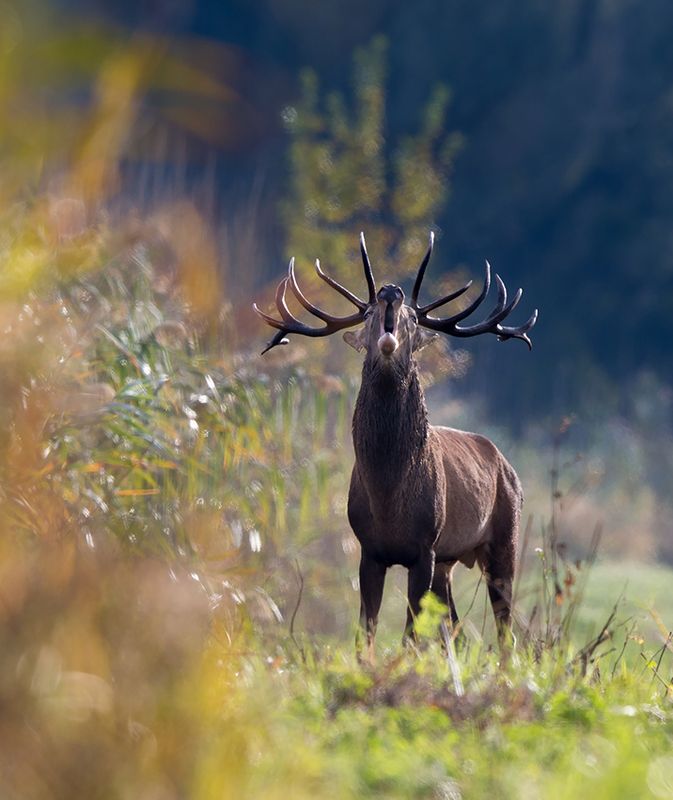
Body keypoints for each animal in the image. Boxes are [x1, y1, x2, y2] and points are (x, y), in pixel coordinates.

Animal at [253, 233, 538, 659]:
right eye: (369, 314)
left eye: (414, 319)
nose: (391, 291)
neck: (388, 497)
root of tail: (507, 464)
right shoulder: (369, 549)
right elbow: (366, 630)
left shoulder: (424, 545)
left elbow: (409, 633)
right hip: (448, 560)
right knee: (454, 626)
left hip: (505, 535)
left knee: (505, 627)